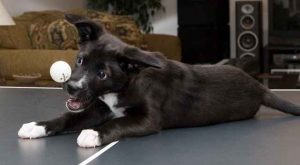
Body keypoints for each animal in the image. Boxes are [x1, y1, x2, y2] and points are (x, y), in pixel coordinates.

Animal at [18, 14, 300, 148]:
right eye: (79, 60)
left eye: (103, 74)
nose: (71, 87)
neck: (127, 84)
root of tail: (258, 85)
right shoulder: (97, 108)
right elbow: (68, 117)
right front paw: (38, 126)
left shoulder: (147, 119)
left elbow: (118, 122)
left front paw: (94, 133)